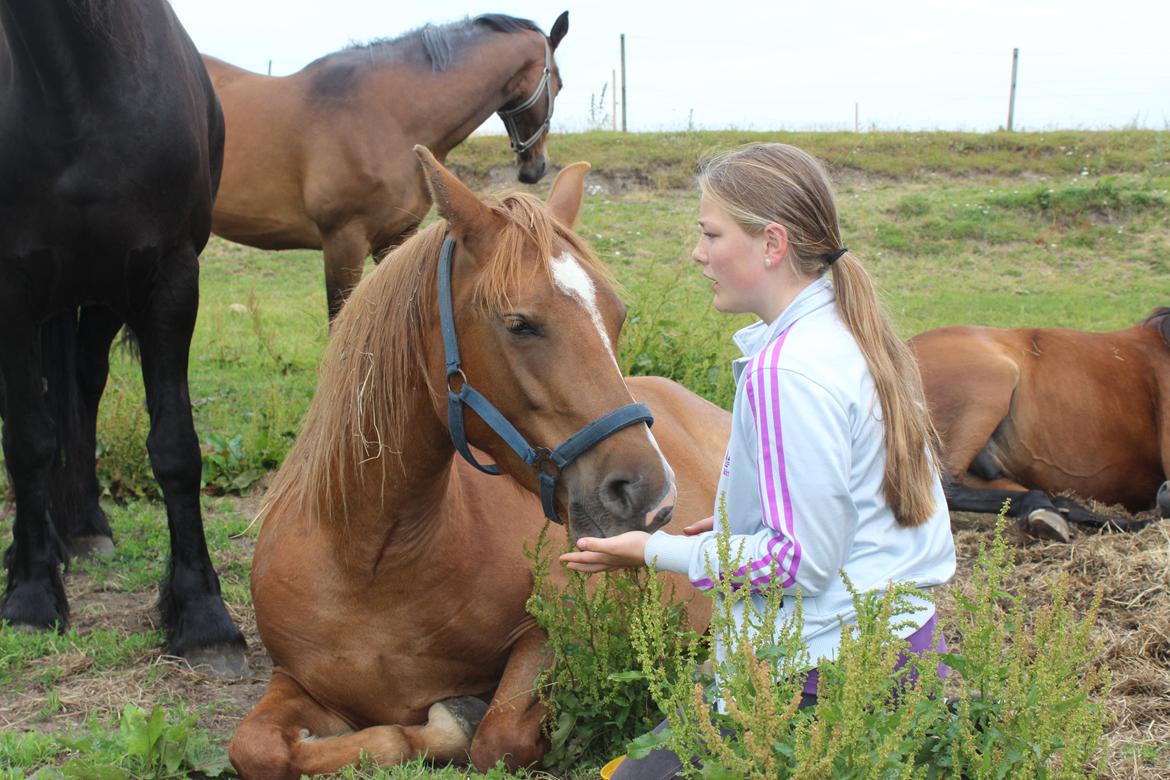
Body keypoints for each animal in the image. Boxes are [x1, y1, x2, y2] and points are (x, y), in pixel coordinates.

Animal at [0, 0, 246, 673]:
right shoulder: (12, 286)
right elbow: (28, 440)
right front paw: (31, 596)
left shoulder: (168, 279)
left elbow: (176, 448)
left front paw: (204, 616)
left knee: (83, 386)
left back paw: (85, 524)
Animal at [223, 149, 725, 776]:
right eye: (519, 323)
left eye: (617, 317)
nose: (649, 494)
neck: (370, 563)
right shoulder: (295, 680)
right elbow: (258, 747)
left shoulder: (552, 635)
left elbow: (496, 737)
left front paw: (460, 719)